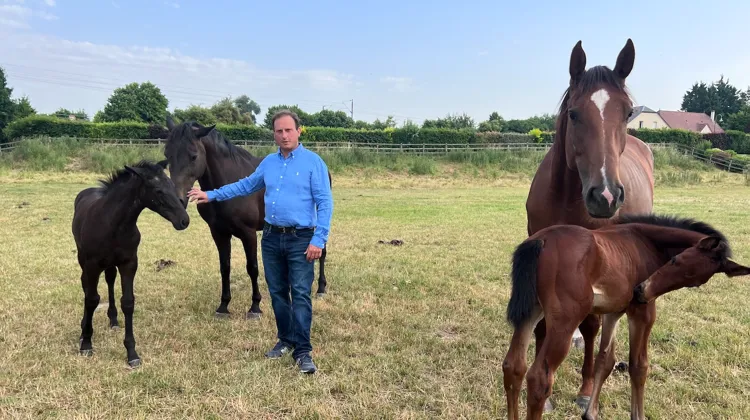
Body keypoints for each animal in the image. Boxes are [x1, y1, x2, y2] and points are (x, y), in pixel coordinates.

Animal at [72, 160, 190, 368]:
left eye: (171, 185)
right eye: (158, 190)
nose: (184, 220)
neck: (114, 225)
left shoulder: (129, 264)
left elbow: (128, 302)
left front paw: (132, 353)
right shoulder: (93, 264)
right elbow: (92, 299)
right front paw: (86, 343)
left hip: (110, 264)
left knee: (110, 280)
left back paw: (113, 320)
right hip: (83, 258)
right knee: (85, 285)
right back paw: (83, 328)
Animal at [502, 214, 750, 420]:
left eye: (695, 282)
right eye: (675, 261)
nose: (641, 292)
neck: (644, 241)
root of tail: (541, 241)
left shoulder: (613, 312)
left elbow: (605, 361)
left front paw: (590, 413)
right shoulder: (642, 313)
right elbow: (638, 366)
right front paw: (637, 415)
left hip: (531, 312)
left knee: (514, 367)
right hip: (565, 321)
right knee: (539, 379)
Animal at [523, 38, 655, 411]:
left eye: (627, 112)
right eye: (573, 113)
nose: (605, 195)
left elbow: (592, 325)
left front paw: (584, 390)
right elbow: (542, 327)